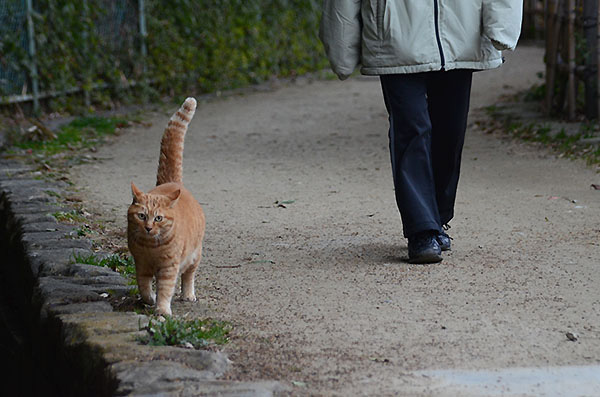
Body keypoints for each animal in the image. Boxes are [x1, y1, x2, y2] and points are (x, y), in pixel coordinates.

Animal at [127, 96, 206, 316]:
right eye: (142, 216)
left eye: (158, 218)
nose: (148, 227)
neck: (151, 247)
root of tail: (173, 182)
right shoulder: (141, 264)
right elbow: (144, 287)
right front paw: (149, 299)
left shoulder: (169, 268)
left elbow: (165, 288)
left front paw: (162, 310)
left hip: (195, 256)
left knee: (188, 276)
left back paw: (188, 294)